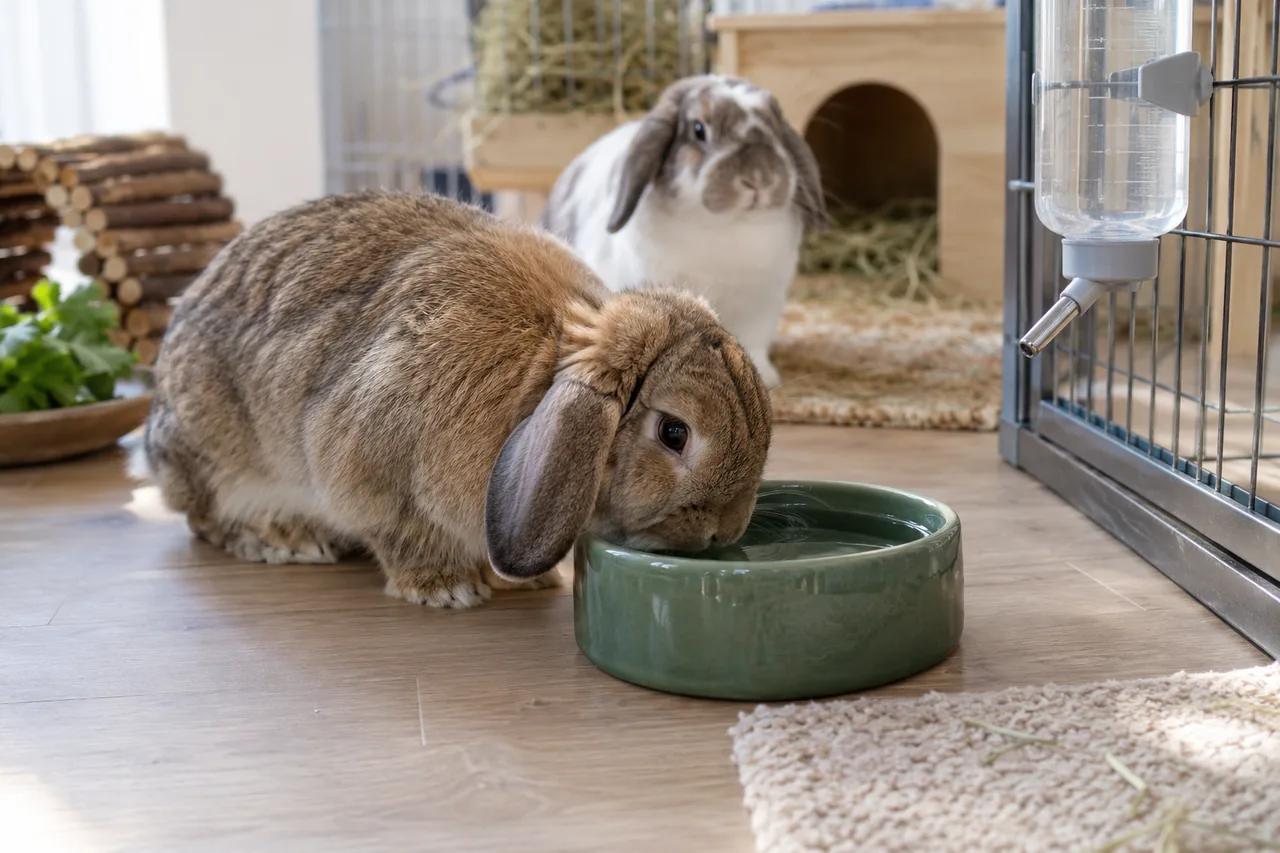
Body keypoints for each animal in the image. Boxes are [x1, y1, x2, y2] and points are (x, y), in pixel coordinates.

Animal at [135, 191, 772, 609]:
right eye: (674, 433)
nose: (723, 533)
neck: (544, 370)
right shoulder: (370, 473)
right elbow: (399, 533)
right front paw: (446, 588)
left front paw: (527, 581)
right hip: (218, 457)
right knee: (204, 519)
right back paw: (284, 539)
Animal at [540, 74, 827, 389]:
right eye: (699, 130)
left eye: (776, 127)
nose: (760, 177)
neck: (725, 226)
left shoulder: (761, 306)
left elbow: (754, 343)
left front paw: (765, 377)